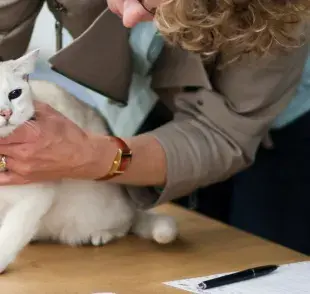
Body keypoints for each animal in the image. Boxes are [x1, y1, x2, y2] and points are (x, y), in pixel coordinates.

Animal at [0, 50, 177, 274]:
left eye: (14, 94)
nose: (6, 113)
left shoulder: (35, 197)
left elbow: (9, 236)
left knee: (125, 225)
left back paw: (101, 235)